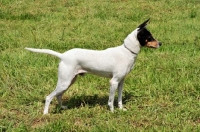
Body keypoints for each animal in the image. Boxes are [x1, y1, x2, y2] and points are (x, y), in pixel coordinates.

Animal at [25, 18, 161, 114]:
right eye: (149, 38)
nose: (160, 43)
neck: (127, 51)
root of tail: (63, 56)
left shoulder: (121, 82)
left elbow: (119, 99)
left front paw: (121, 109)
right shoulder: (113, 82)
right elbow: (111, 100)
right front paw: (112, 112)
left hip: (69, 81)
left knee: (58, 95)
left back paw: (62, 107)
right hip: (65, 81)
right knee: (49, 97)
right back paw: (45, 113)